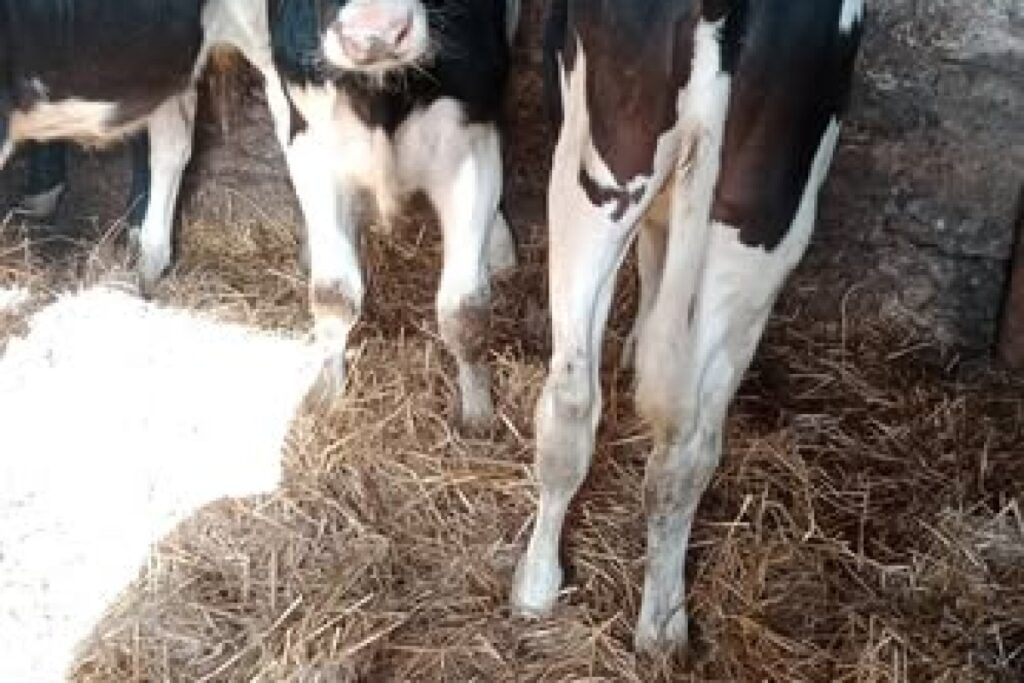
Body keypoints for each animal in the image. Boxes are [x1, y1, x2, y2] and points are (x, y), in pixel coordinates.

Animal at [1, 0, 519, 426]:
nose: (374, 33)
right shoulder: (314, 139)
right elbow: (334, 292)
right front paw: (326, 394)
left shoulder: (472, 140)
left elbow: (465, 310)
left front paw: (478, 416)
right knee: (174, 140)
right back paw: (149, 265)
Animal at [512, 0, 864, 653]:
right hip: (763, 227)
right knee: (688, 447)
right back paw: (662, 627)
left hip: (591, 174)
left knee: (571, 401)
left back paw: (535, 587)